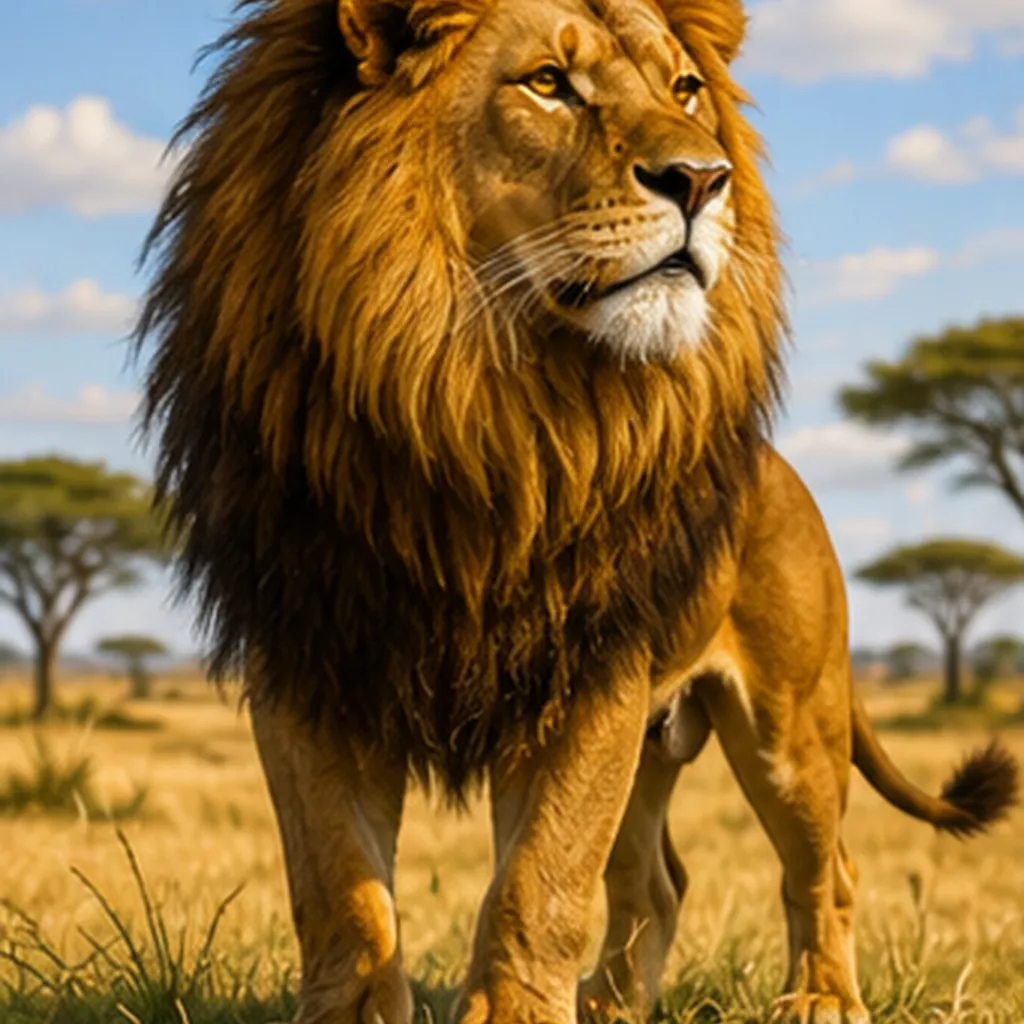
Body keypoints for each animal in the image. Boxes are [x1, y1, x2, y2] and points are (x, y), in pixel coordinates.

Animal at [133, 0, 1020, 1022]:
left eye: (685, 89)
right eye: (549, 83)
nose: (703, 179)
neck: (480, 406)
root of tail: (780, 468)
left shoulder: (593, 670)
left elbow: (541, 881)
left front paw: (515, 1011)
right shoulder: (308, 660)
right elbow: (340, 887)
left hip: (790, 726)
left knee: (826, 869)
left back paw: (821, 999)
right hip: (656, 747)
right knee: (658, 881)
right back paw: (612, 1005)